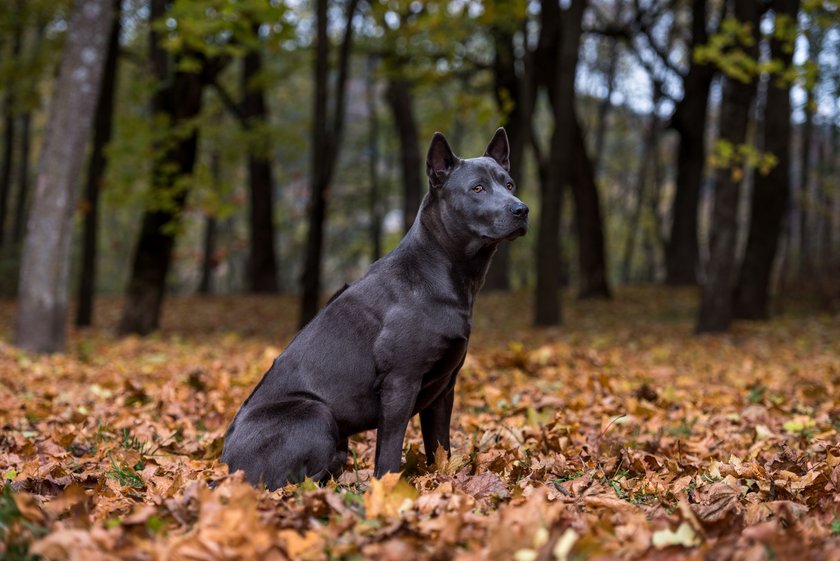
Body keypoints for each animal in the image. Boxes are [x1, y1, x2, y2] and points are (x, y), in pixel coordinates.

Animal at [220, 127, 528, 486]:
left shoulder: (444, 388)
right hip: (317, 411)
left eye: (509, 184)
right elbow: (389, 451)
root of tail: (226, 465)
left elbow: (440, 446)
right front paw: (389, 488)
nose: (522, 210)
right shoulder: (400, 382)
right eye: (477, 188)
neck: (444, 270)